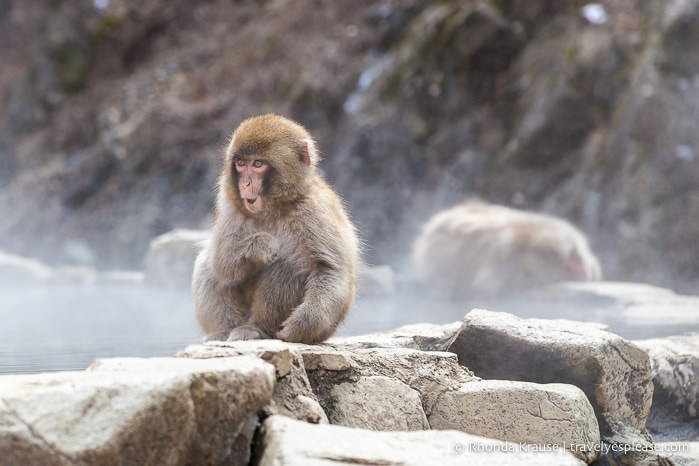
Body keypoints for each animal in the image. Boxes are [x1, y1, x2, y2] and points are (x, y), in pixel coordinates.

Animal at [194, 114, 364, 344]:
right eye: (240, 163)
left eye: (258, 164)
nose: (245, 184)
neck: (272, 208)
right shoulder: (229, 203)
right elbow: (221, 261)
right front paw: (262, 245)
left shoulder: (314, 210)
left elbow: (330, 269)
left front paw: (302, 324)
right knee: (207, 266)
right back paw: (224, 331)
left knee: (286, 265)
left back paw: (258, 328)